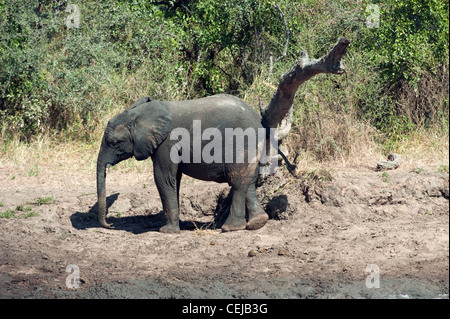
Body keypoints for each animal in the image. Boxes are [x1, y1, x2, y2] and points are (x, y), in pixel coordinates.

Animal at [96, 94, 270, 234]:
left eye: (114, 142)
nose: (110, 225)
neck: (137, 114)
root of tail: (258, 119)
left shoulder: (166, 142)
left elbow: (163, 178)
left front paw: (167, 231)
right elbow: (174, 179)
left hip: (241, 143)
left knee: (237, 180)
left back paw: (230, 228)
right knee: (248, 180)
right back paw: (258, 222)